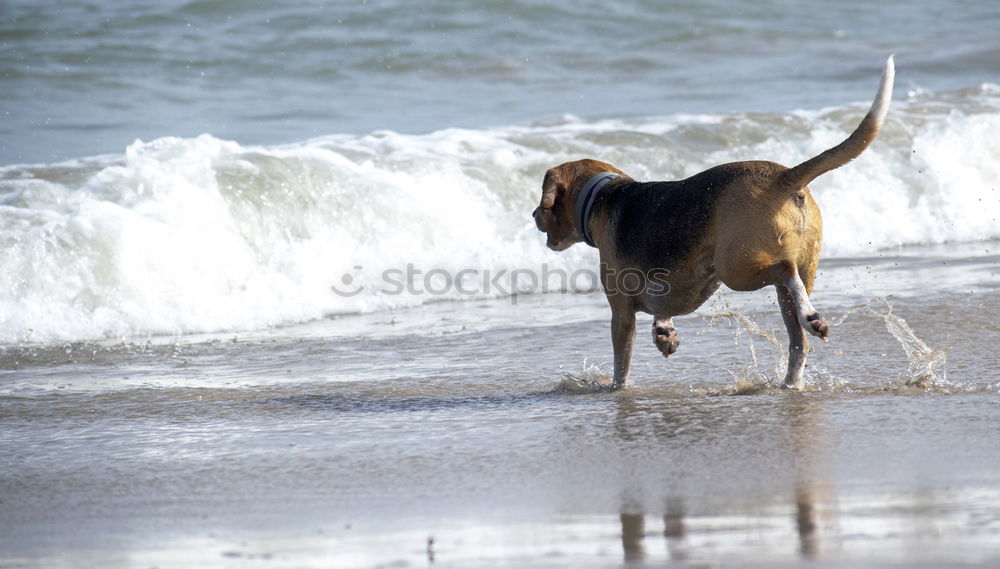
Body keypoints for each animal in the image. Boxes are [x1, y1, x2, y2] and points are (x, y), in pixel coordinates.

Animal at [536, 55, 896, 388]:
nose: (533, 216)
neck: (603, 195)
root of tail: (783, 177)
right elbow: (662, 309)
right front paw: (664, 333)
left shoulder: (621, 312)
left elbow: (621, 361)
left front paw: (618, 388)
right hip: (792, 274)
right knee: (799, 337)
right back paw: (795, 371)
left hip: (736, 269)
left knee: (785, 271)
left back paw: (811, 316)